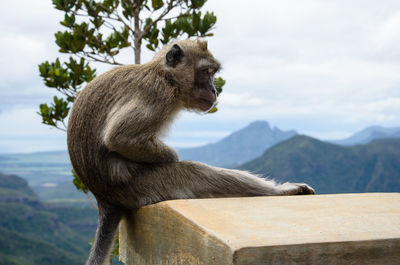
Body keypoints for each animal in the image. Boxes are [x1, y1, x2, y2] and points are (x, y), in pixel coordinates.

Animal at [67, 38, 314, 264]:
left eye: (212, 73)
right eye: (206, 72)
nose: (214, 90)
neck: (166, 77)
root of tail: (104, 197)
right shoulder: (156, 94)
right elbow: (120, 137)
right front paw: (171, 156)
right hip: (142, 185)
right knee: (197, 173)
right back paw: (280, 191)